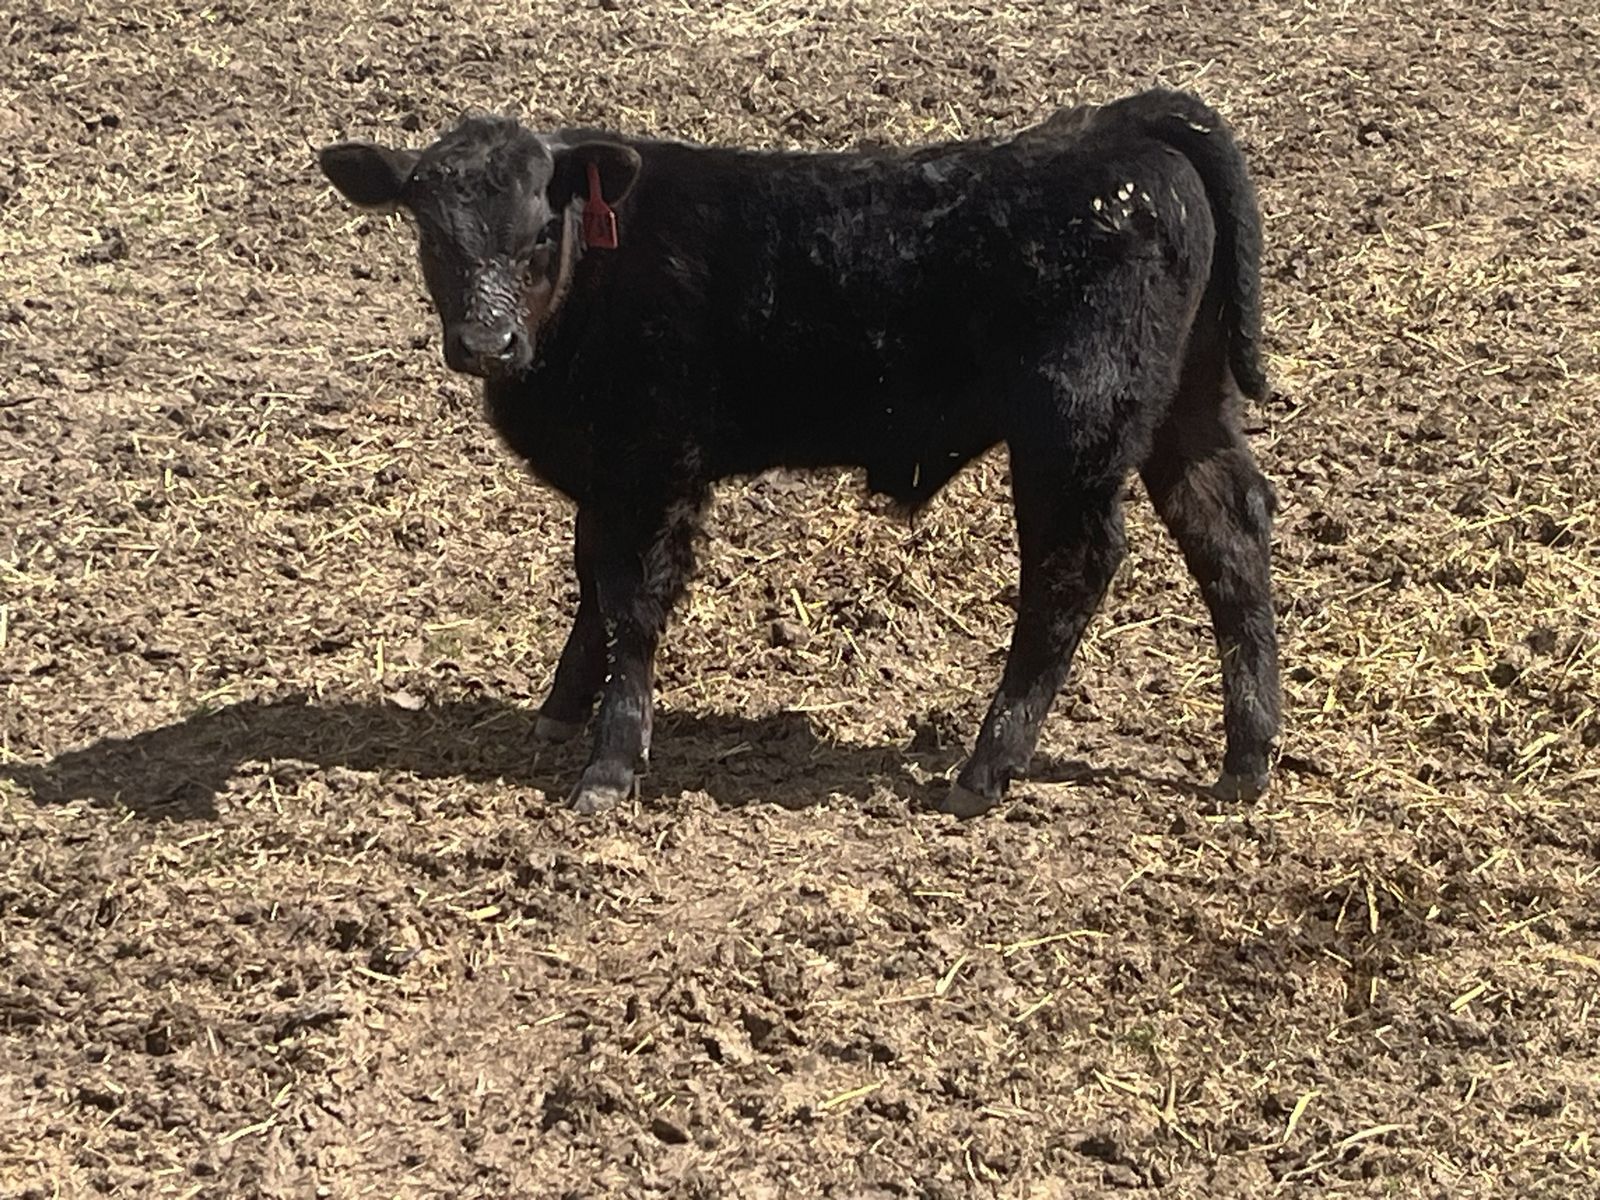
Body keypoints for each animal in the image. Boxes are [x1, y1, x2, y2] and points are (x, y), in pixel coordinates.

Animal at [318, 88, 1282, 818]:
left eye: (536, 235)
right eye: (431, 234)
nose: (487, 343)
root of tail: (1122, 122)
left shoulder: (657, 465)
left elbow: (633, 602)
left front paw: (611, 763)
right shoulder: (606, 475)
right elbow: (592, 579)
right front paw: (559, 709)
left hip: (1074, 428)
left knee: (1071, 569)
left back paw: (986, 767)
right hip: (1186, 407)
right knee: (1228, 532)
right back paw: (1247, 757)